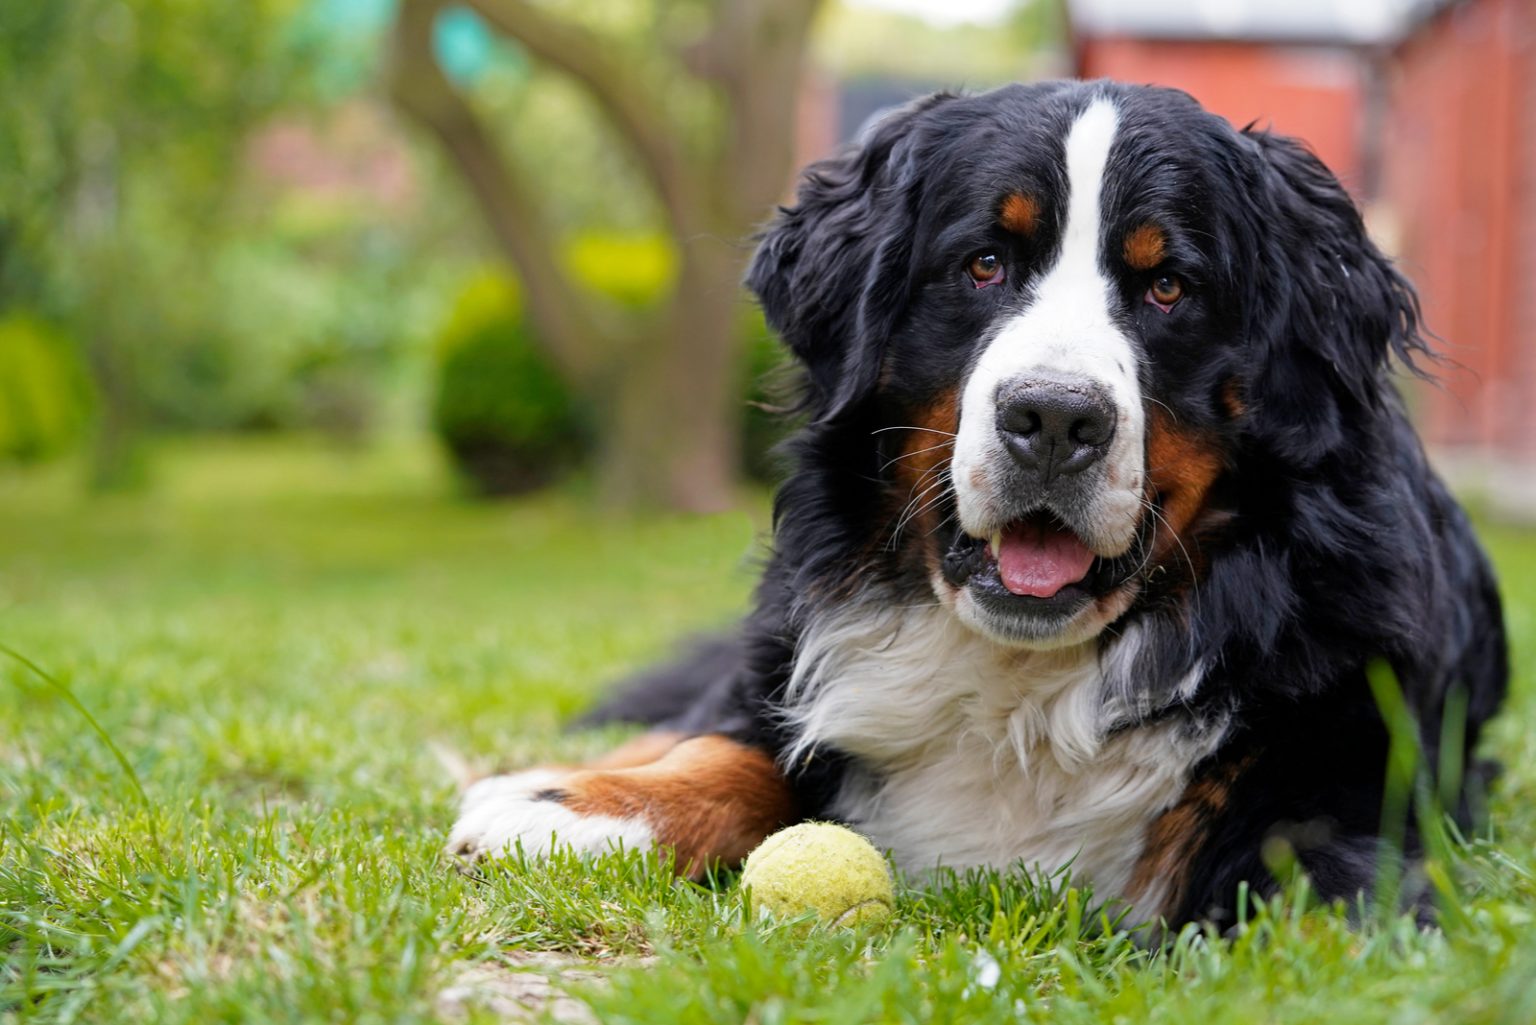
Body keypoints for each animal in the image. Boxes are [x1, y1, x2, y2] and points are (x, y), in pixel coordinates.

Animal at [448, 80, 1505, 928]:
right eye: (985, 264)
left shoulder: (1348, 771)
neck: (1024, 688)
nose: (1055, 416)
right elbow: (734, 749)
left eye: (1168, 286)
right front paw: (571, 811)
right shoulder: (791, 668)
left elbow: (1320, 885)